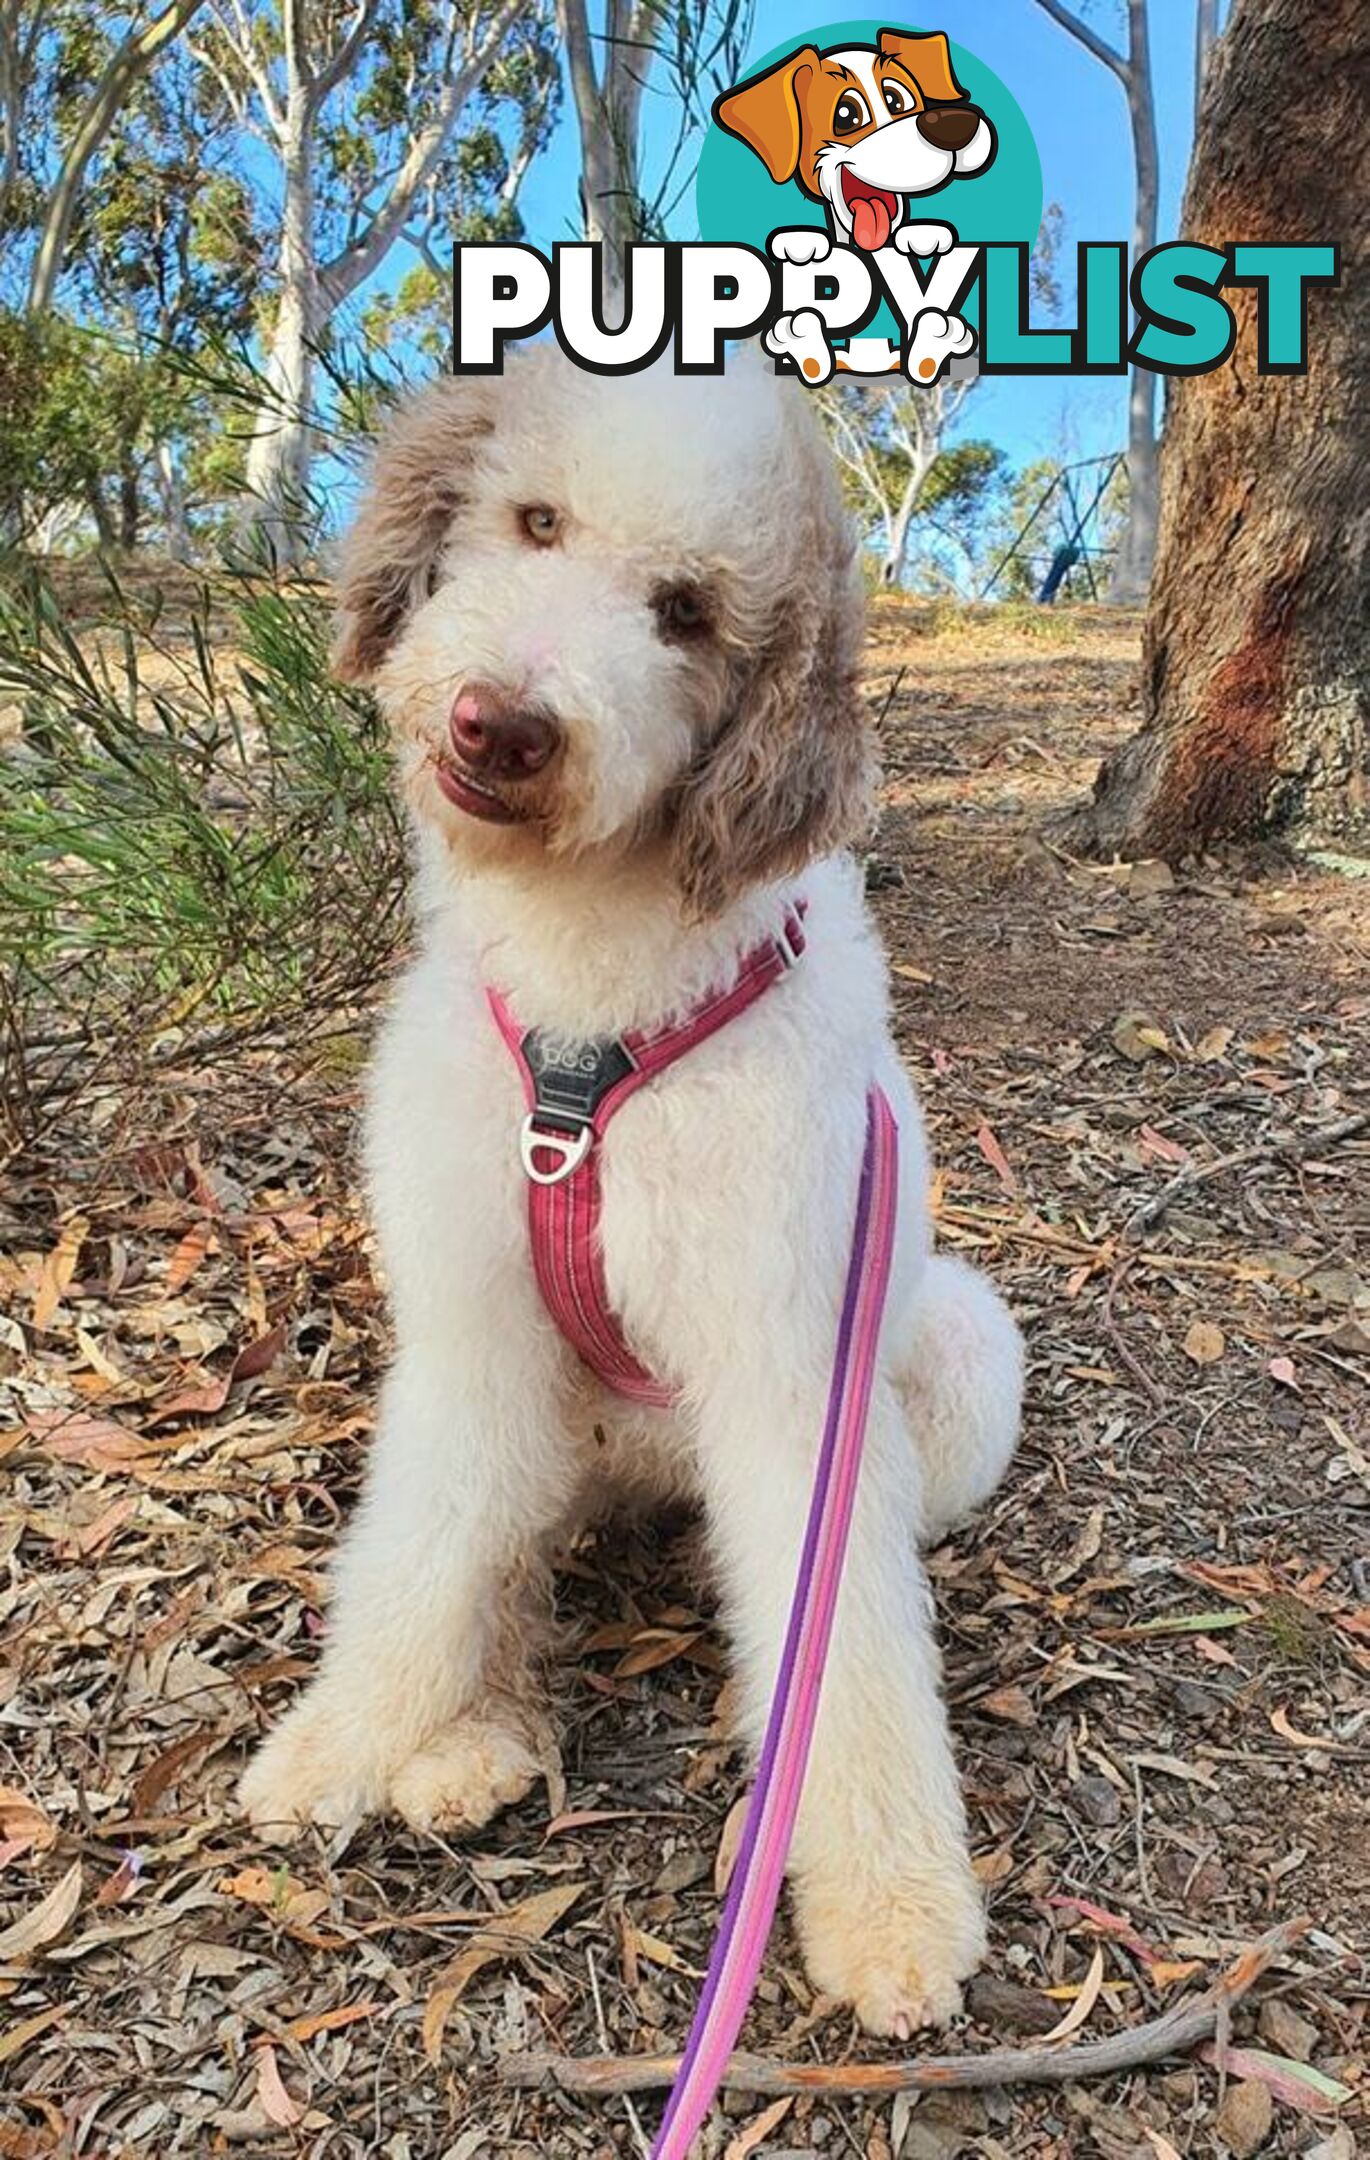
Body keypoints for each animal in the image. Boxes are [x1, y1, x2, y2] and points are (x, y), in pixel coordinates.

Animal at [239, 345, 1019, 2030]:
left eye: (685, 612)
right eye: (534, 521)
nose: (502, 725)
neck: (590, 1025)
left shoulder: (795, 1373)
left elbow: (846, 1648)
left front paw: (889, 1913)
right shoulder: (467, 1332)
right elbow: (414, 1561)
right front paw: (339, 1745)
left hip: (954, 1350)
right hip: (552, 1429)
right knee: (504, 1551)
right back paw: (473, 1740)